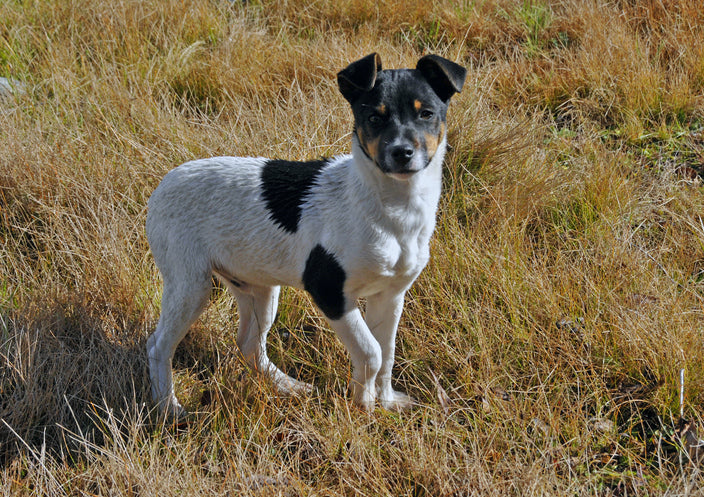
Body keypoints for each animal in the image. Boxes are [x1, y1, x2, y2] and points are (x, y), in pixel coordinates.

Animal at [147, 52, 468, 416]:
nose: (402, 153)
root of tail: (165, 181)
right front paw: (364, 403)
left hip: (259, 288)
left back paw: (288, 386)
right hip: (191, 285)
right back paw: (168, 408)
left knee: (249, 344)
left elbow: (387, 354)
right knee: (158, 345)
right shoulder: (330, 293)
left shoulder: (390, 295)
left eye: (426, 114)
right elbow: (371, 352)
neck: (393, 207)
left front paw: (386, 402)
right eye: (374, 117)